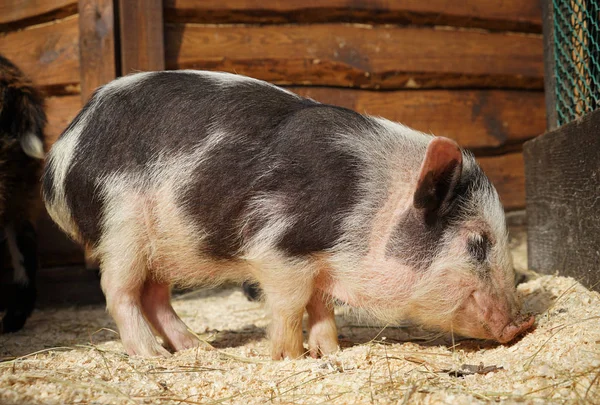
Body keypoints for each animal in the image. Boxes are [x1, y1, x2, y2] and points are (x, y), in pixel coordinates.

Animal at [42, 71, 536, 358]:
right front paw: (289, 358)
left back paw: (200, 350)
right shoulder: (280, 248)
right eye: (477, 242)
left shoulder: (321, 263)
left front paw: (331, 354)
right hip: (120, 224)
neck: (369, 204)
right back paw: (154, 358)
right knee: (118, 291)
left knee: (155, 297)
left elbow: (322, 306)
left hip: (164, 245)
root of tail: (60, 154)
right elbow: (289, 305)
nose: (525, 323)